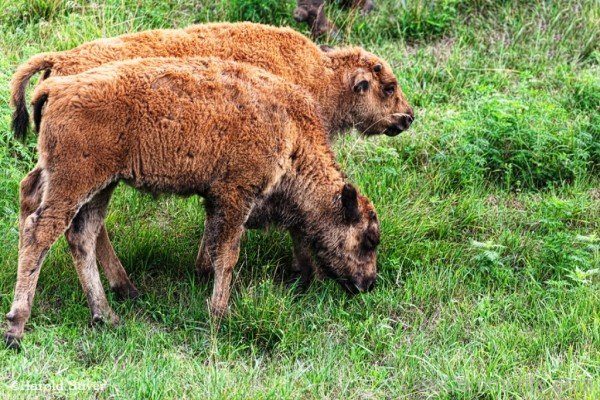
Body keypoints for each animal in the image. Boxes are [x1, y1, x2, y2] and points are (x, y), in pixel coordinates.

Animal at [3, 57, 380, 348]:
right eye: (367, 240)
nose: (367, 284)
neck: (290, 129)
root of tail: (58, 86)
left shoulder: (217, 201)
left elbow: (214, 247)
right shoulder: (235, 196)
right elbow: (227, 256)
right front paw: (219, 315)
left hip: (101, 186)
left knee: (81, 235)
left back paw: (106, 316)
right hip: (74, 182)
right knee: (41, 233)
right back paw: (16, 329)